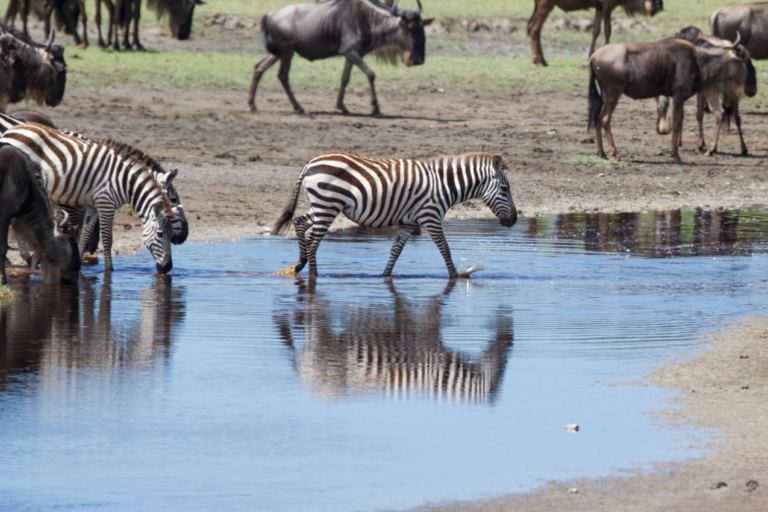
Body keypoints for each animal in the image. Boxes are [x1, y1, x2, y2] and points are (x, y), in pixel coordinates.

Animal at [0, 115, 175, 274]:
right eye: (160, 234)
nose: (168, 267)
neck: (124, 182)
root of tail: (12, 130)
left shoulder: (93, 205)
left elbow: (84, 234)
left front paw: (79, 262)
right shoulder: (106, 202)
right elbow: (107, 239)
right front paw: (109, 270)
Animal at [272, 151, 520, 278]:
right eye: (504, 190)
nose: (514, 220)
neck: (444, 186)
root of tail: (310, 163)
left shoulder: (408, 223)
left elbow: (396, 252)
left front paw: (385, 276)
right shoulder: (430, 216)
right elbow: (445, 249)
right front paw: (455, 277)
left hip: (321, 205)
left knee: (300, 222)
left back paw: (299, 265)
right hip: (328, 204)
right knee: (314, 239)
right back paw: (313, 275)